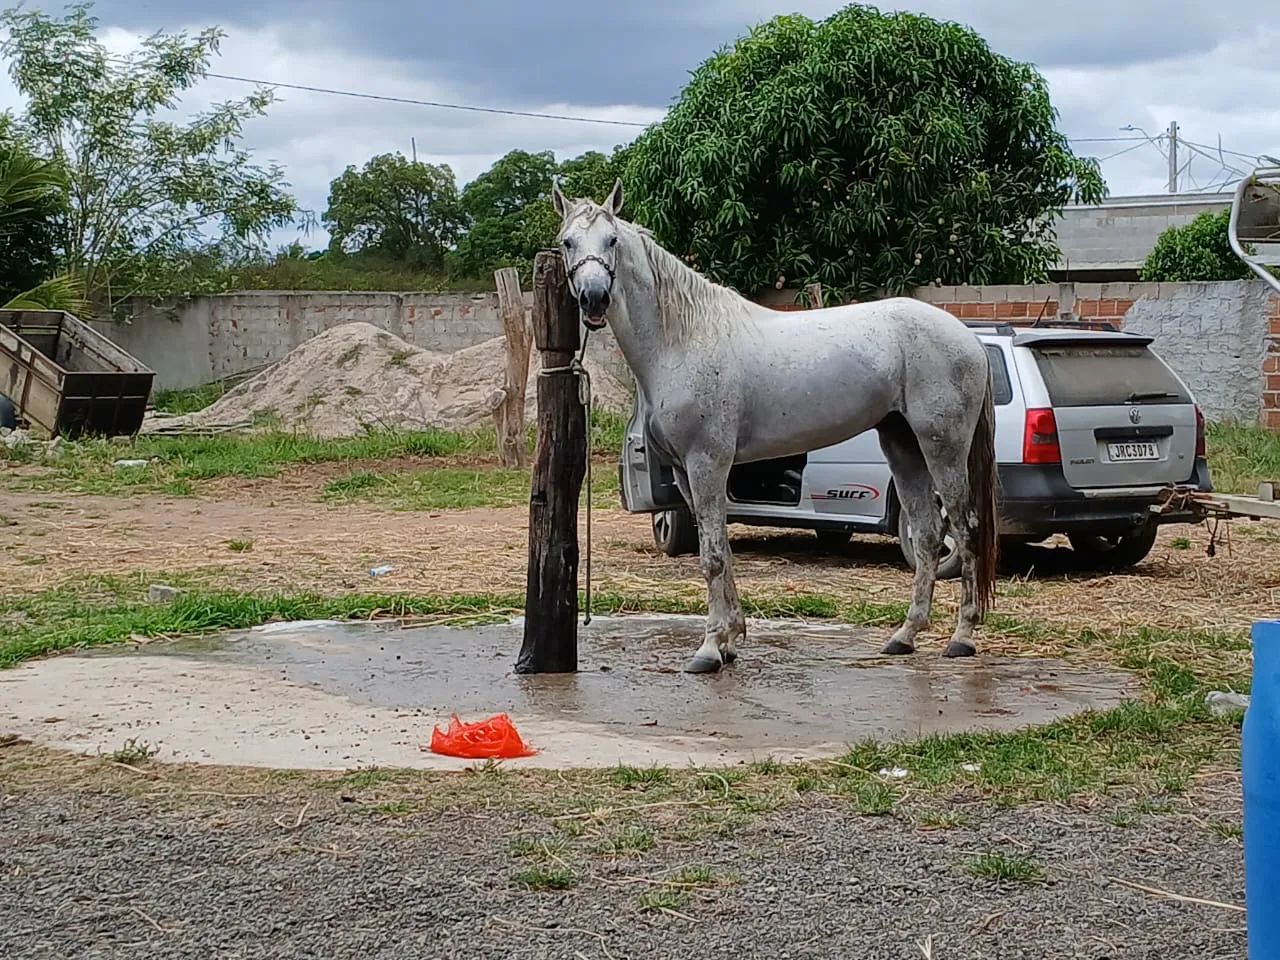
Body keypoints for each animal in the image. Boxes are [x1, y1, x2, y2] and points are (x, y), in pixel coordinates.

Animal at [552, 178, 999, 674]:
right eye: (567, 242)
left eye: (612, 241)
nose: (594, 299)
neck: (683, 340)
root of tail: (967, 337)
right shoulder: (687, 474)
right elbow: (720, 551)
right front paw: (730, 641)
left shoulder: (707, 464)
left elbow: (711, 557)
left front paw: (708, 649)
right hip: (903, 446)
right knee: (927, 534)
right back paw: (904, 636)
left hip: (944, 448)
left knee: (965, 529)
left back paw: (962, 637)